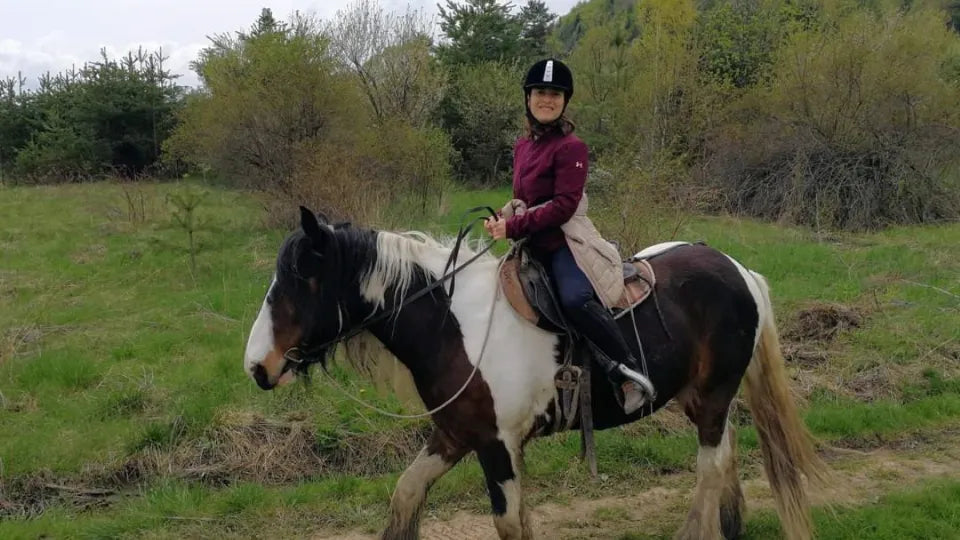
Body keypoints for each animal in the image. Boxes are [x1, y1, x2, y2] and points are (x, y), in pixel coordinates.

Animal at [243, 207, 827, 540]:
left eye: (300, 279)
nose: (257, 367)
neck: (455, 324)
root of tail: (738, 269)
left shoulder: (497, 444)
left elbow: (508, 523)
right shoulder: (455, 435)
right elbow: (406, 496)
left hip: (713, 396)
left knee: (709, 468)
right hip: (701, 398)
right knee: (725, 457)